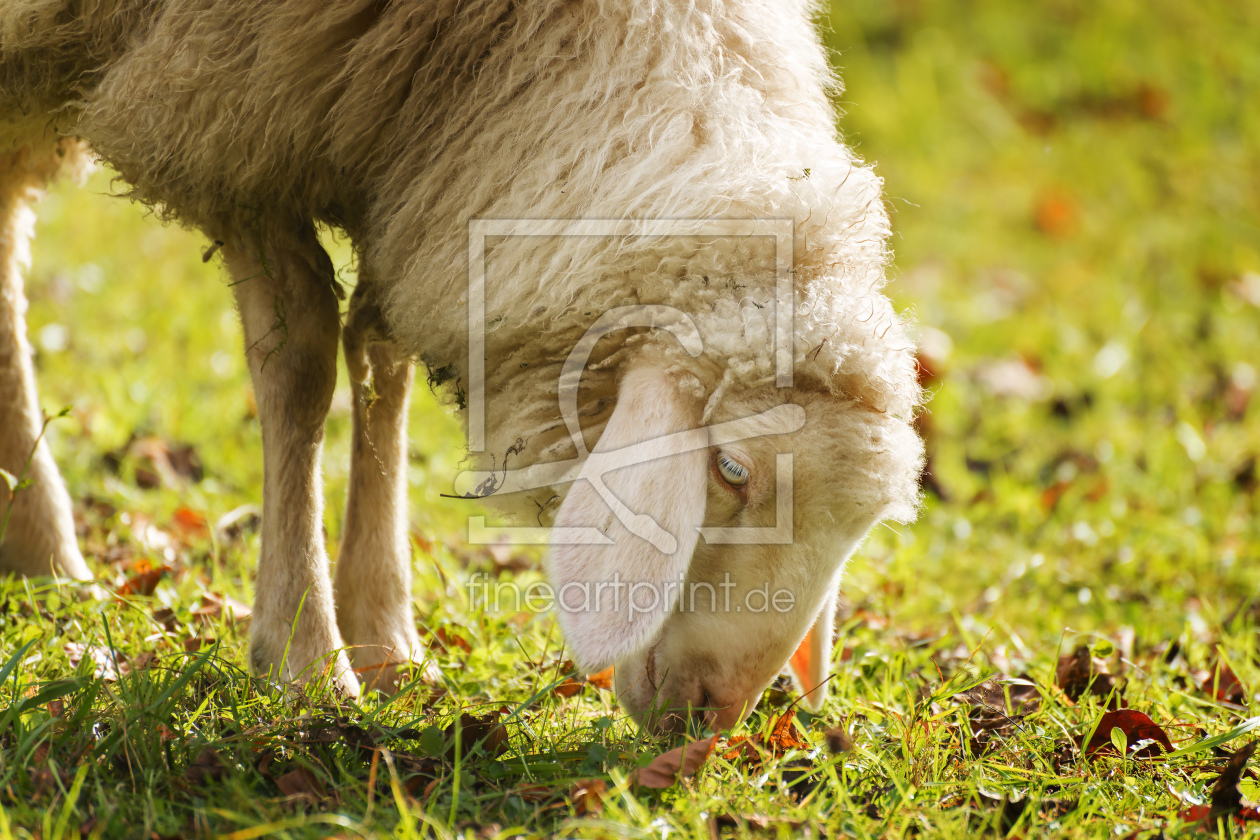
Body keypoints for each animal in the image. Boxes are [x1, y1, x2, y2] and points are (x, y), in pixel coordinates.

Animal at [0, 0, 927, 730]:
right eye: (732, 469)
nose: (712, 713)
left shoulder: (414, 166)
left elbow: (382, 361)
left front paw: (386, 643)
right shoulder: (230, 115)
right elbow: (301, 368)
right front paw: (307, 662)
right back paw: (49, 547)